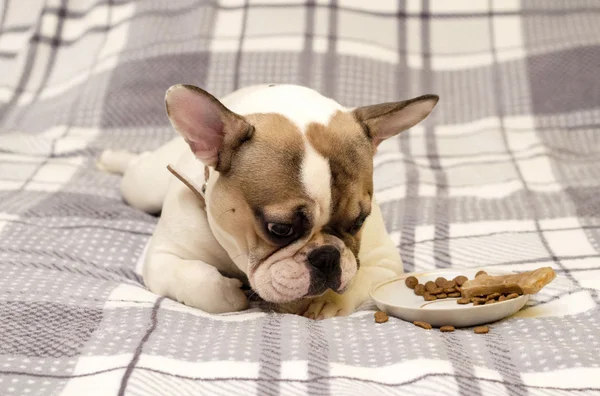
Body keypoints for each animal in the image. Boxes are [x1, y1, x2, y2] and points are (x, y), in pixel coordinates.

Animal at [96, 83, 438, 318]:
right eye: (280, 229)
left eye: (359, 222)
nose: (326, 257)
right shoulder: (164, 258)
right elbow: (200, 282)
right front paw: (229, 294)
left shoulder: (385, 263)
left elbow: (358, 276)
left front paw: (326, 300)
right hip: (144, 186)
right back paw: (113, 158)